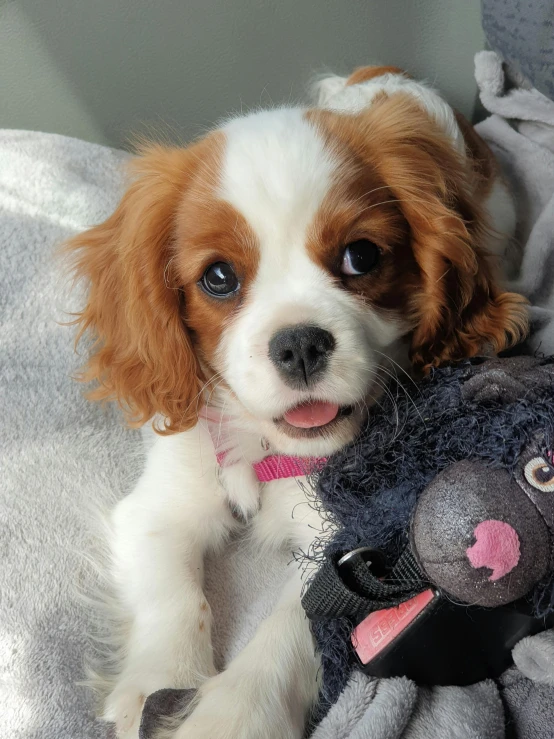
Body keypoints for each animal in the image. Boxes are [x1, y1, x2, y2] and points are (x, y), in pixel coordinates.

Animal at [67, 66, 524, 736]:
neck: (271, 450)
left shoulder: (346, 549)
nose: (300, 344)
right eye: (219, 277)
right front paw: (154, 687)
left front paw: (226, 718)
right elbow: (170, 594)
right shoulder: (164, 502)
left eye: (361, 256)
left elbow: (291, 630)